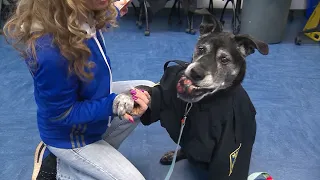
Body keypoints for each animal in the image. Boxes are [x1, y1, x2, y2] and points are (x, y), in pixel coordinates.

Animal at [114, 10, 268, 180]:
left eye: (224, 59)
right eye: (201, 49)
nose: (195, 72)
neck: (203, 103)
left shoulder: (231, 145)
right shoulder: (164, 97)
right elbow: (144, 88)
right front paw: (126, 98)